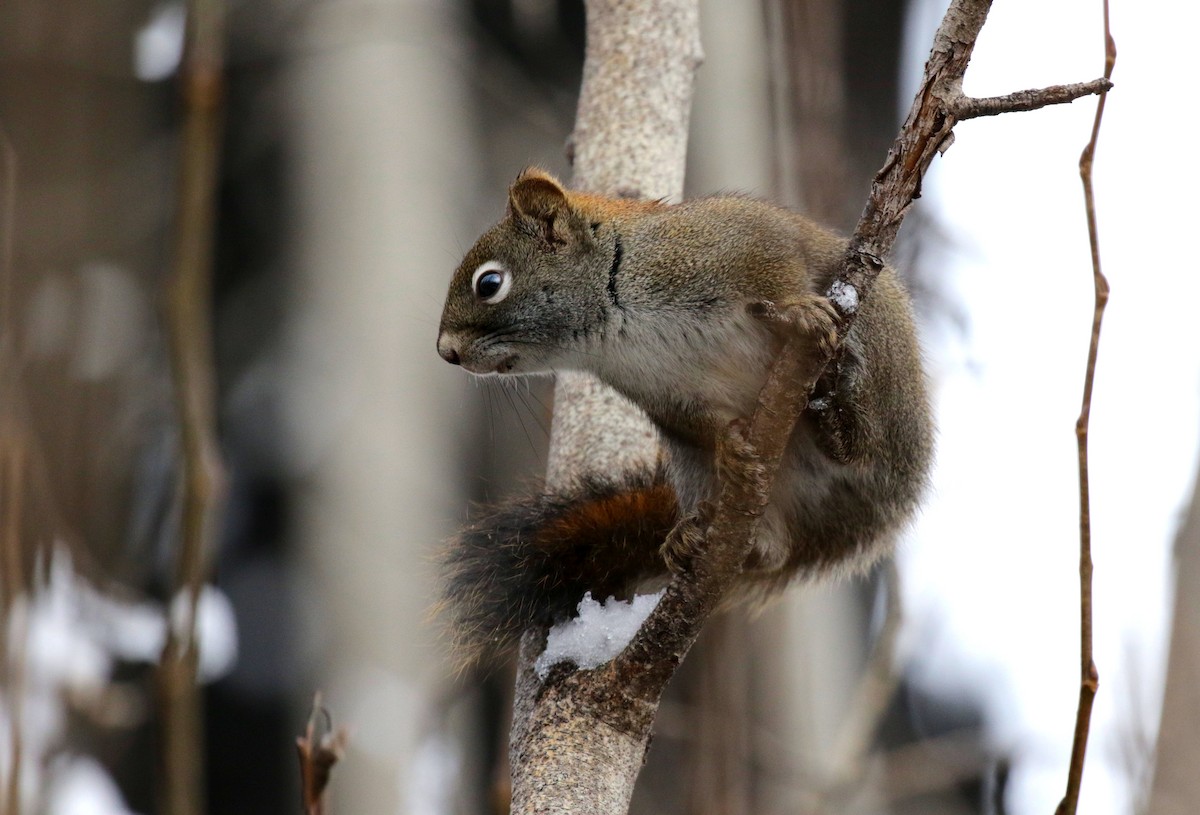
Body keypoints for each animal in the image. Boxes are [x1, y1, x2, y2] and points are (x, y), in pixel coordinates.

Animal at [436, 168, 934, 665]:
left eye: (489, 284)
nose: (446, 352)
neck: (614, 316)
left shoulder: (738, 242)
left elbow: (780, 265)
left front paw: (799, 308)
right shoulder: (661, 393)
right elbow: (701, 424)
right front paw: (730, 449)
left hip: (880, 347)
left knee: (867, 445)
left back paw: (838, 420)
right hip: (699, 471)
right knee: (770, 551)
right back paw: (696, 534)